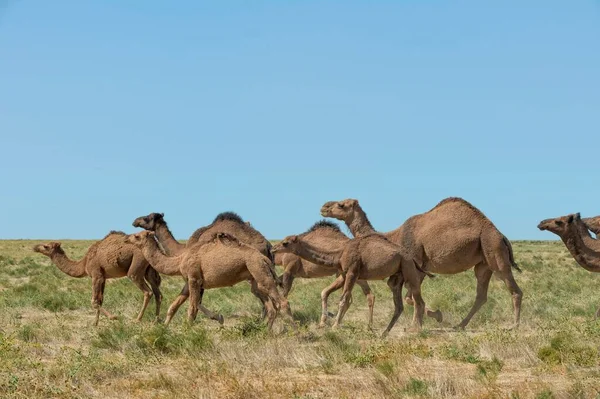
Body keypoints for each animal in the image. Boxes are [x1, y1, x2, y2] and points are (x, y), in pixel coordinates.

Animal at [31, 231, 163, 328]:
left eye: (46, 246)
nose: (34, 247)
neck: (84, 263)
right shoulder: (103, 277)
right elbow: (100, 300)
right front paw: (95, 323)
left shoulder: (96, 275)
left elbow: (94, 301)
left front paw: (113, 317)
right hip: (149, 269)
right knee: (158, 293)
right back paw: (156, 321)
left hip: (136, 267)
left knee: (147, 291)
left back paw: (137, 319)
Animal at [126, 230, 296, 332]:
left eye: (137, 236)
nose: (127, 238)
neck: (179, 260)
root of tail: (264, 258)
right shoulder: (189, 281)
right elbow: (174, 305)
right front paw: (164, 327)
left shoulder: (194, 278)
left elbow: (192, 307)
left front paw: (188, 331)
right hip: (255, 277)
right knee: (269, 305)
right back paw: (265, 331)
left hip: (258, 270)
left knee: (282, 302)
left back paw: (295, 333)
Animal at [274, 233, 432, 336]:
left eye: (285, 243)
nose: (273, 248)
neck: (339, 254)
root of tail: (412, 258)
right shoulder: (345, 274)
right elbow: (339, 297)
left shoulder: (352, 271)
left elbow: (343, 300)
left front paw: (335, 326)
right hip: (397, 276)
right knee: (398, 305)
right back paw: (384, 333)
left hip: (408, 268)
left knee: (419, 301)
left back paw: (416, 330)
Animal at [322, 198, 524, 330]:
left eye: (341, 204)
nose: (324, 207)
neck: (394, 237)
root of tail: (502, 236)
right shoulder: (418, 268)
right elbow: (410, 298)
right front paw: (431, 318)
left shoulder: (416, 263)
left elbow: (411, 297)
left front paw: (418, 324)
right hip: (483, 263)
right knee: (481, 295)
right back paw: (460, 325)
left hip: (494, 251)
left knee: (514, 289)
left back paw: (514, 326)